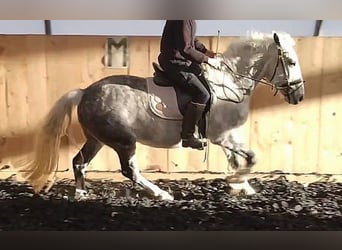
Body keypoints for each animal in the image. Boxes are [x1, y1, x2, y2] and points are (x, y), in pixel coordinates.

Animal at [20, 31, 306, 200]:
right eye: (291, 62)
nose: (299, 96)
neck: (231, 81)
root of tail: (84, 92)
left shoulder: (227, 136)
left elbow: (238, 160)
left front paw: (240, 186)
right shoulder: (222, 136)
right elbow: (251, 158)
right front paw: (236, 182)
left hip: (97, 139)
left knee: (80, 162)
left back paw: (80, 195)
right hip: (123, 141)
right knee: (129, 170)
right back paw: (161, 195)